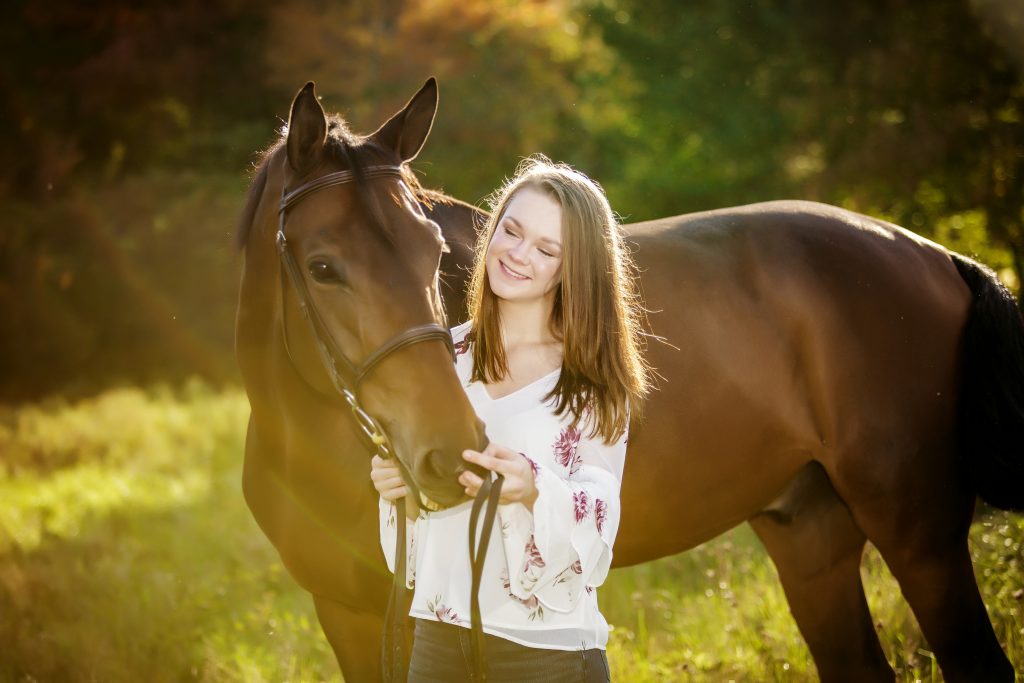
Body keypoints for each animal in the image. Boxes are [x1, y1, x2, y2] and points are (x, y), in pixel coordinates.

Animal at [235, 79, 1023, 682]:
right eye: (323, 267)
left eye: (431, 251)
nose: (448, 452)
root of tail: (935, 254)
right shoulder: (347, 613)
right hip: (811, 536)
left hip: (919, 535)